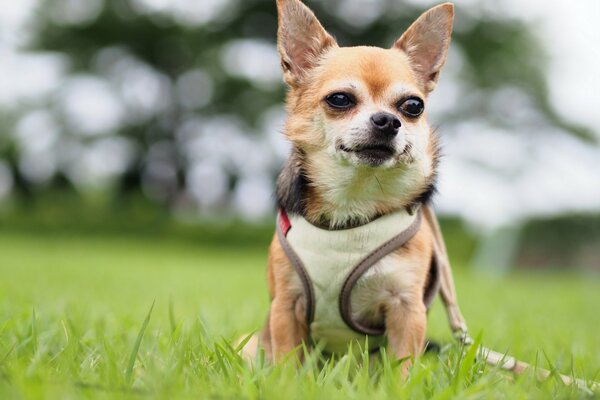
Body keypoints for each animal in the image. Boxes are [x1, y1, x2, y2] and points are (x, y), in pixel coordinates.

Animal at [240, 0, 468, 376]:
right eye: (340, 99)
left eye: (413, 106)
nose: (388, 121)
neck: (355, 198)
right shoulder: (286, 305)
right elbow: (289, 363)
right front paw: (286, 383)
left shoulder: (407, 309)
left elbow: (402, 368)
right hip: (249, 344)